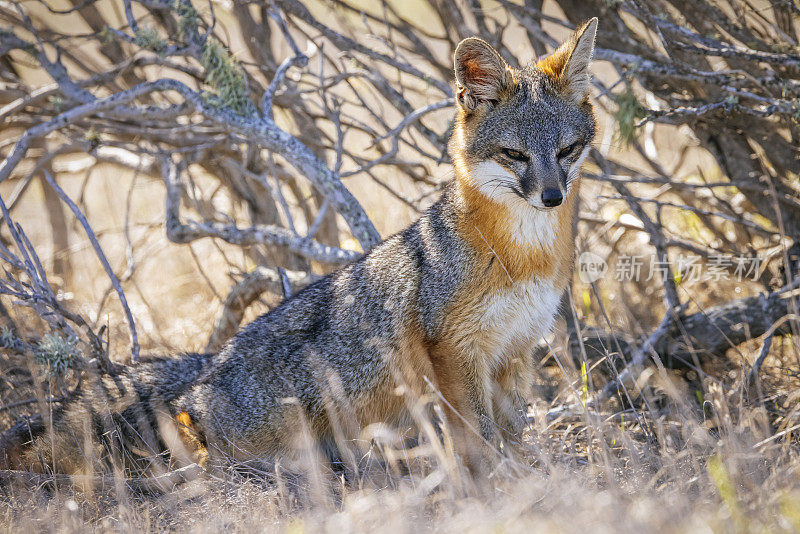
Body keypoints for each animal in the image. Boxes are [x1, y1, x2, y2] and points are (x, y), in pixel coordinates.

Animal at [1, 17, 600, 478]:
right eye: (515, 155)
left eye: (567, 150)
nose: (551, 196)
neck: (523, 257)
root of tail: (207, 366)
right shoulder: (455, 351)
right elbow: (479, 438)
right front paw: (499, 483)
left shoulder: (515, 350)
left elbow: (511, 432)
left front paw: (530, 476)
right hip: (274, 430)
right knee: (198, 447)